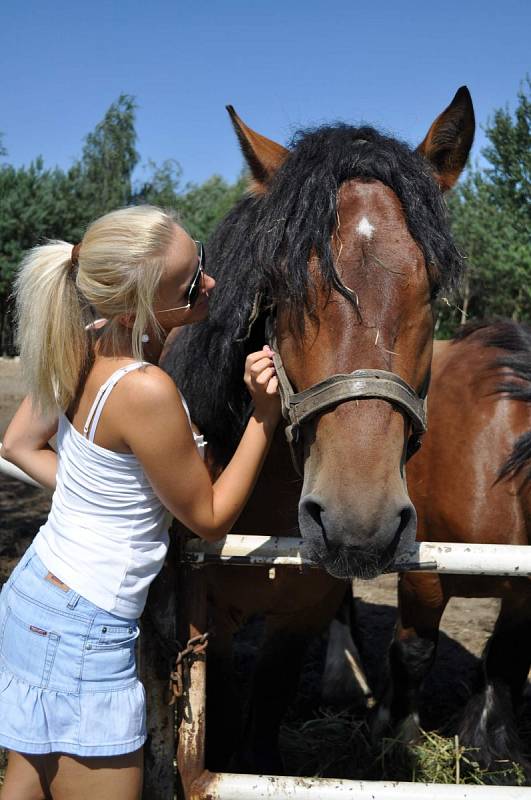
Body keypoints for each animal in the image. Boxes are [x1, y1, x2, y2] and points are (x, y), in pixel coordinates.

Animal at [164, 89, 476, 776]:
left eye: (431, 291)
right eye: (279, 287)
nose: (358, 523)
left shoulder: (298, 615)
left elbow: (264, 719)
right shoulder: (211, 619)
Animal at [370, 322, 531, 780]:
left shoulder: (522, 595)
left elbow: (507, 661)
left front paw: (490, 753)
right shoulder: (424, 578)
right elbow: (415, 653)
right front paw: (399, 741)